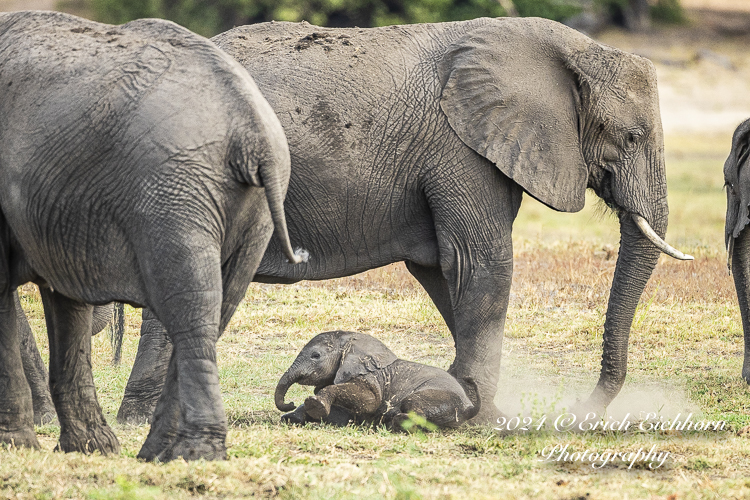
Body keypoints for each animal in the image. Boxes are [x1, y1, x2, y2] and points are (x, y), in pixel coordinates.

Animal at [2, 9, 306, 460]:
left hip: (173, 191)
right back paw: (158, 452)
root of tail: (252, 131)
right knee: (215, 309)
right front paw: (91, 448)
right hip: (245, 209)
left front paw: (18, 446)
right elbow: (66, 304)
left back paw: (192, 454)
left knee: (191, 312)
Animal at [276, 328, 482, 430]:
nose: (289, 403)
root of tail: (469, 407)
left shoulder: (370, 377)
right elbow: (345, 415)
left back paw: (396, 421)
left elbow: (370, 401)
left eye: (315, 356)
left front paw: (315, 404)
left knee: (411, 402)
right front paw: (291, 417)